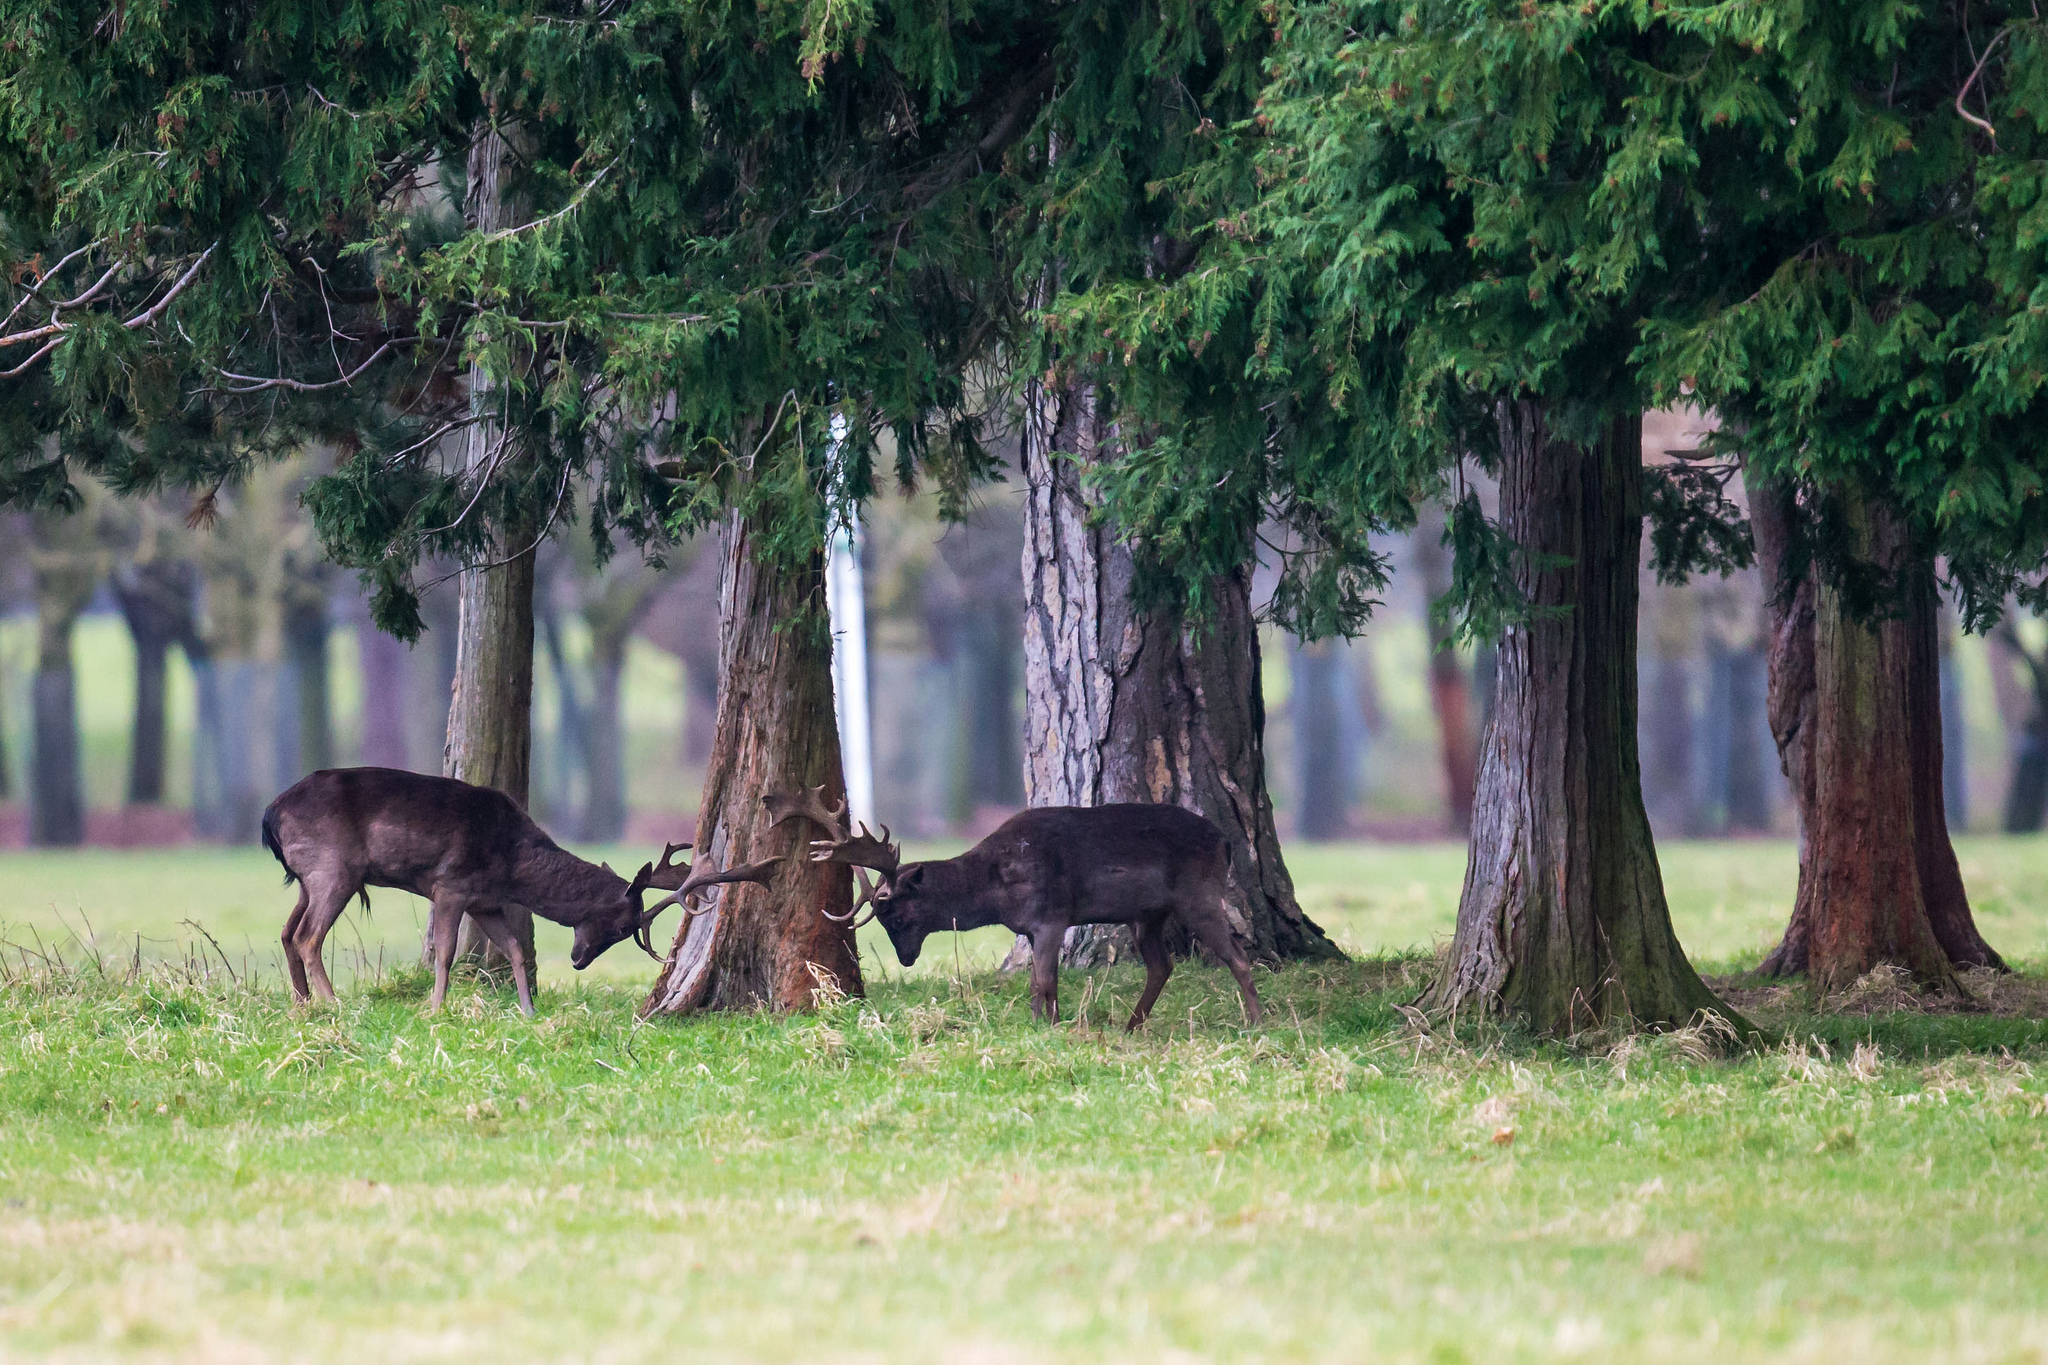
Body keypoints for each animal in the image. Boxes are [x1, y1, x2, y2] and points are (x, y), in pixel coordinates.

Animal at [761, 785, 1253, 1031]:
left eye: (894, 912)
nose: (906, 958)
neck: (996, 890)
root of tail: (1225, 842)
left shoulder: (1051, 915)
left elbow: (1043, 982)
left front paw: (1048, 1028)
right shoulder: (1031, 927)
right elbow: (1041, 984)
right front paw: (1042, 1026)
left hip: (1198, 894)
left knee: (1239, 957)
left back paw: (1255, 1022)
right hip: (1147, 915)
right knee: (1162, 965)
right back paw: (1131, 1026)